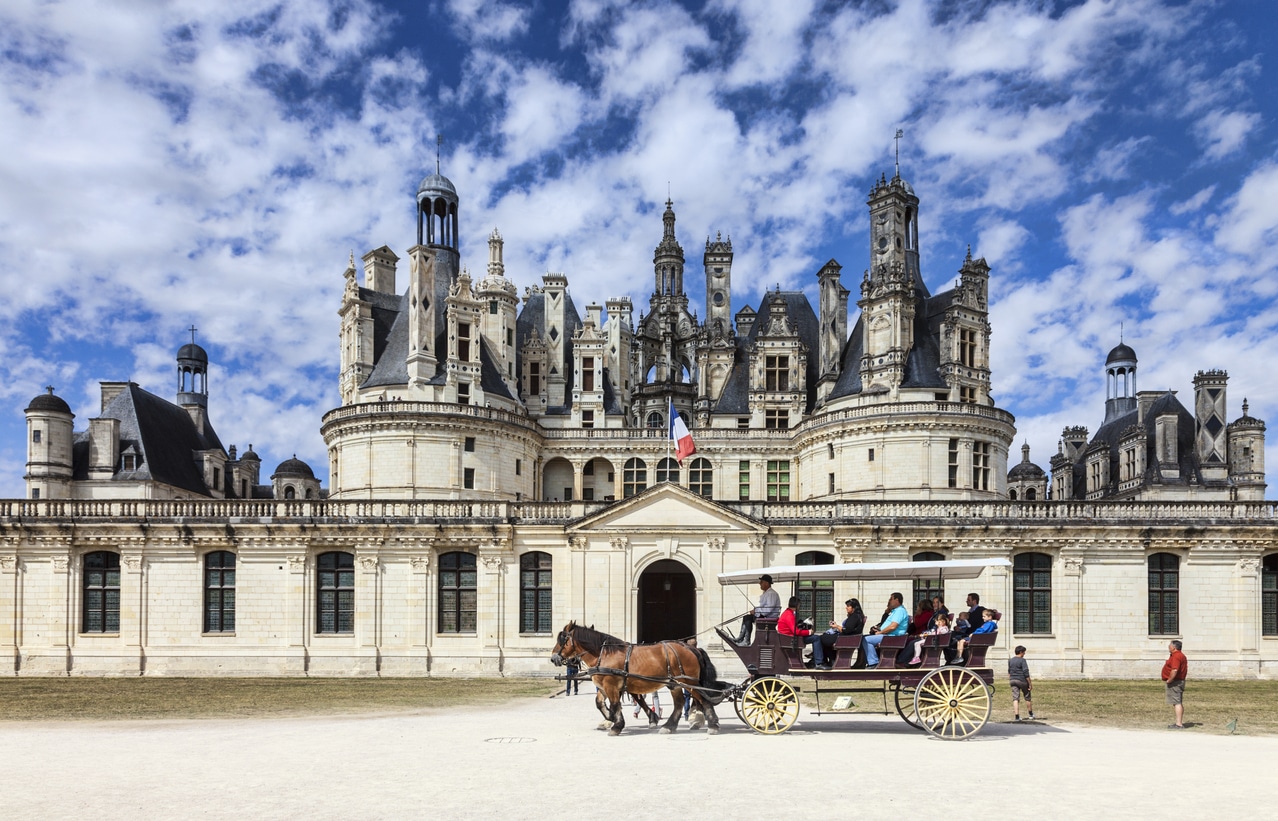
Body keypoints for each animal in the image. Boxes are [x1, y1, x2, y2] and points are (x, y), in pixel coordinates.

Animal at [546, 618, 720, 736]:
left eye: (562, 639)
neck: (604, 653)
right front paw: (610, 718)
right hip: (675, 684)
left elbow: (615, 704)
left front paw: (616, 725)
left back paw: (712, 725)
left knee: (703, 700)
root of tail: (690, 647)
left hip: (689, 682)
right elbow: (600, 703)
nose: (553, 658)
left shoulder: (611, 685)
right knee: (679, 703)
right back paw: (669, 726)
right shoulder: (605, 685)